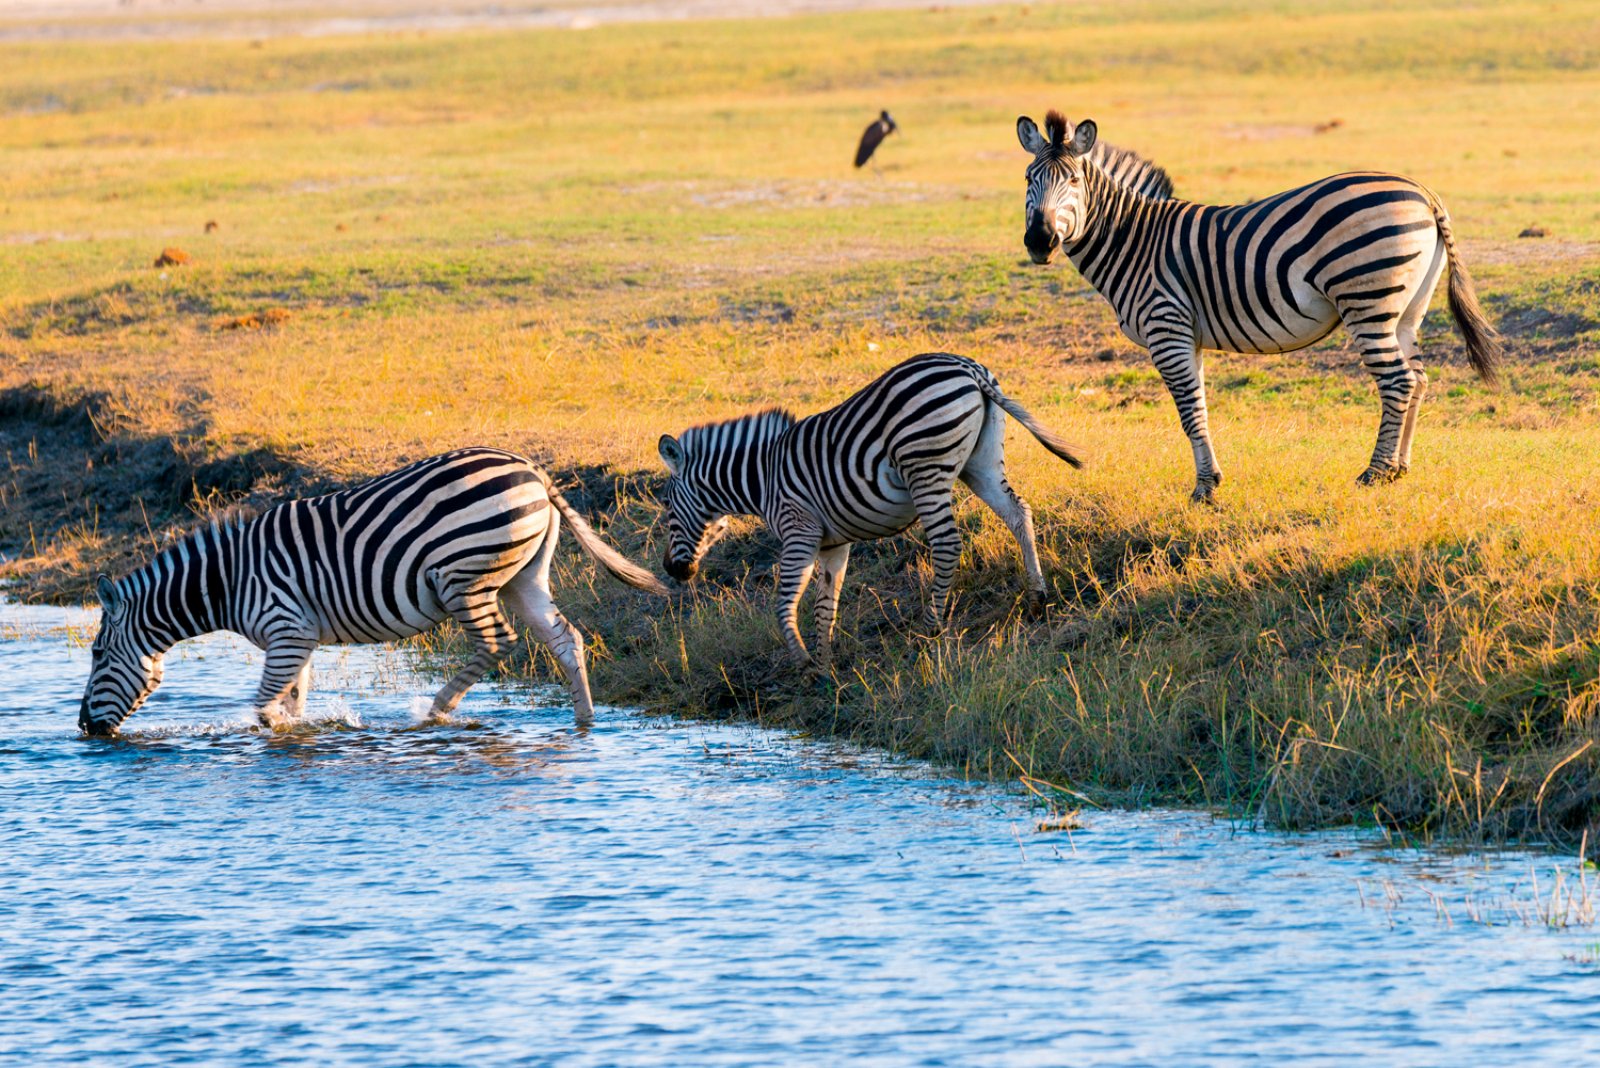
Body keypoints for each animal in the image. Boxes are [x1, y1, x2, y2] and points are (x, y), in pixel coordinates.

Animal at [78, 447, 665, 738]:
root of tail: (533, 470)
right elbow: (292, 701)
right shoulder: (298, 639)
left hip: (464, 576)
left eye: (98, 654)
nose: (83, 728)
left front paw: (277, 733)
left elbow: (265, 707)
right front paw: (303, 733)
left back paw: (437, 710)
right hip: (524, 574)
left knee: (498, 641)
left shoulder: (286, 630)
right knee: (564, 638)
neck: (226, 582)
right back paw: (584, 722)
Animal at [656, 354, 1081, 661]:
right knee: (1018, 513)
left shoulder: (799, 530)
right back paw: (1037, 596)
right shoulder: (832, 543)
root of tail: (970, 370)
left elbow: (785, 600)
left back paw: (929, 628)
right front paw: (824, 663)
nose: (671, 570)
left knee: (947, 544)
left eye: (668, 510)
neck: (762, 477)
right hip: (981, 461)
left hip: (925, 467)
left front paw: (804, 662)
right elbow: (825, 602)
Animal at [1017, 108, 1504, 502]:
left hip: (1366, 300)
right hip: (1405, 311)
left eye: (1074, 181)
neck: (1133, 240)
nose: (1040, 241)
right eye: (1028, 179)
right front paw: (1209, 480)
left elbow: (1188, 410)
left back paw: (1375, 472)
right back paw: (1400, 469)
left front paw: (1205, 490)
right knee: (1418, 379)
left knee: (1398, 381)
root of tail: (1423, 192)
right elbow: (1199, 406)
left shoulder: (1166, 326)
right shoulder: (1187, 336)